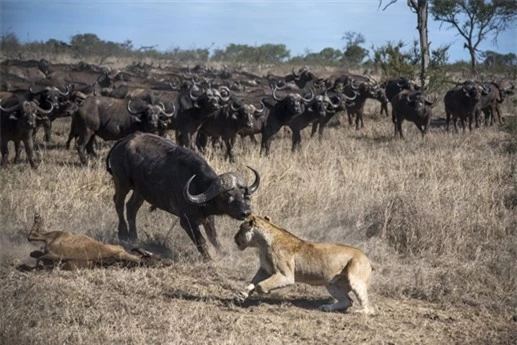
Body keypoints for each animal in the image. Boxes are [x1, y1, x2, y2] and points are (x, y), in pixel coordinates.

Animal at [105, 132, 260, 258]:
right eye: (227, 195)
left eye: (244, 194)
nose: (246, 212)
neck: (197, 187)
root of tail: (122, 141)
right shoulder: (187, 221)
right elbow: (201, 241)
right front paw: (209, 259)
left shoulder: (208, 217)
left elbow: (213, 237)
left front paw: (223, 253)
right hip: (122, 182)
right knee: (118, 203)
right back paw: (123, 234)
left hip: (140, 191)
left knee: (131, 207)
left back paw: (134, 238)